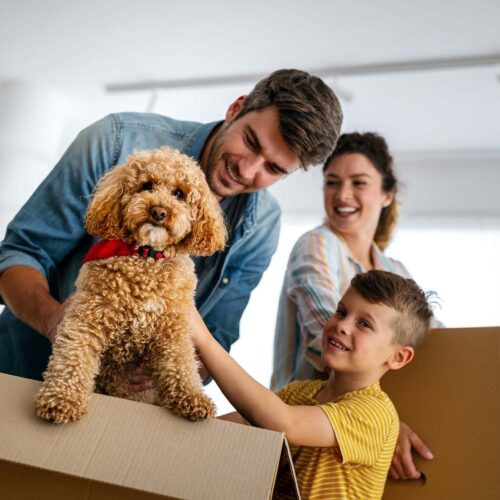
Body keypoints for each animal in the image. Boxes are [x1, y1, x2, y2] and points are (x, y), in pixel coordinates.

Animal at [36, 146, 228, 424]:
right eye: (146, 186)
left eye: (178, 193)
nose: (158, 212)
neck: (146, 256)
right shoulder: (87, 318)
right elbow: (72, 356)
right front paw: (62, 398)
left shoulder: (173, 331)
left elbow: (181, 364)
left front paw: (193, 398)